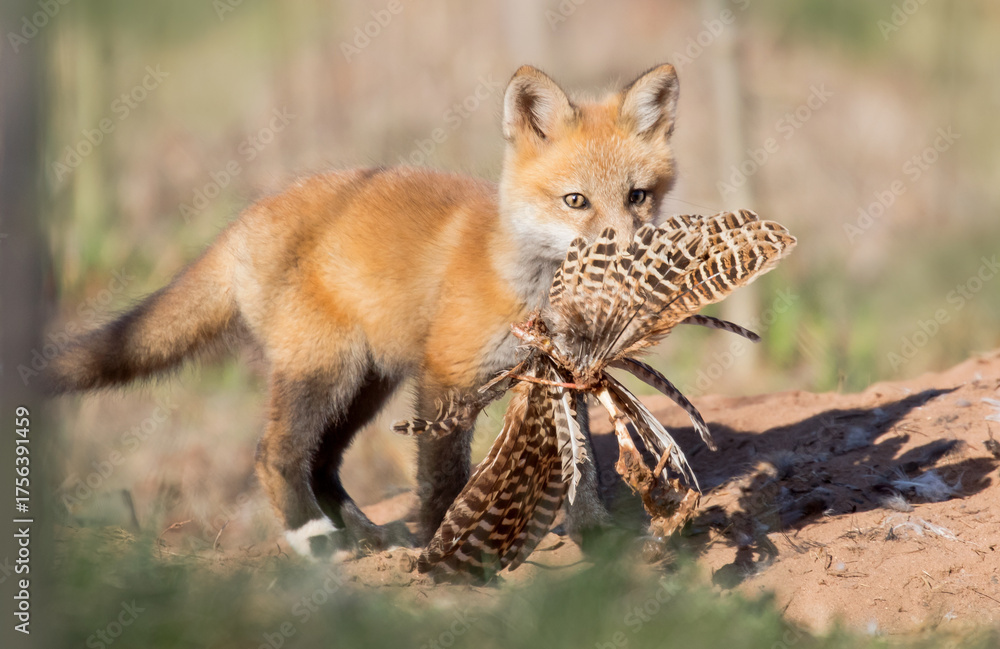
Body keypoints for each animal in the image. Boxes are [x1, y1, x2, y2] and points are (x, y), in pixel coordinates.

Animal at [47, 64, 682, 559]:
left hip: (366, 383)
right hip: (327, 371)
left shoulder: (566, 376)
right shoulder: (446, 376)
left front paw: (597, 536)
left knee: (323, 462)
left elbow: (585, 470)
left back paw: (365, 538)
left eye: (638, 197)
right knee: (275, 453)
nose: (629, 253)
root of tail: (247, 217)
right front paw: (444, 547)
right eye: (576, 201)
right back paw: (313, 538)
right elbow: (443, 476)